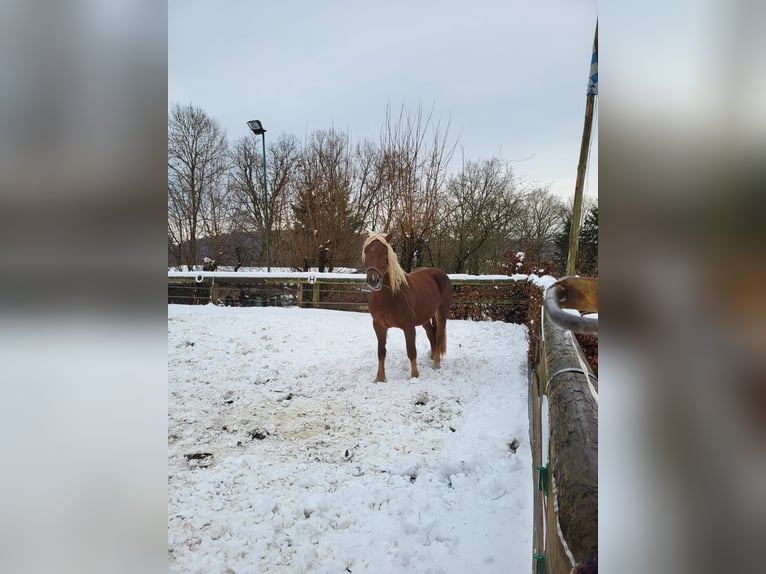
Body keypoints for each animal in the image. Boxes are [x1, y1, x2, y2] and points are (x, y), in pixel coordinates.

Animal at [362, 232, 453, 382]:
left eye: (385, 252)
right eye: (366, 251)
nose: (373, 280)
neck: (390, 296)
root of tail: (440, 273)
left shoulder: (408, 327)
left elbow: (411, 351)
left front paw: (414, 376)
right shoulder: (379, 326)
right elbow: (381, 352)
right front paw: (380, 378)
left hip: (442, 312)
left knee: (439, 334)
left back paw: (436, 364)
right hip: (425, 317)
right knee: (431, 334)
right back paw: (432, 357)